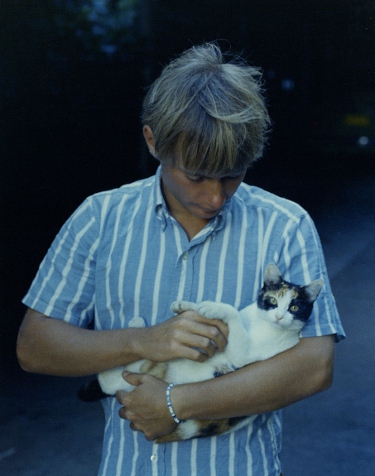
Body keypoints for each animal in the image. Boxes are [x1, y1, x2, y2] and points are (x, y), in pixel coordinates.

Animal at [96, 262, 324, 444]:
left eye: (294, 307)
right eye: (273, 301)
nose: (279, 317)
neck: (260, 322)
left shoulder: (245, 353)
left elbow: (231, 313)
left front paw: (214, 308)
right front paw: (186, 306)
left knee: (121, 376)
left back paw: (135, 327)